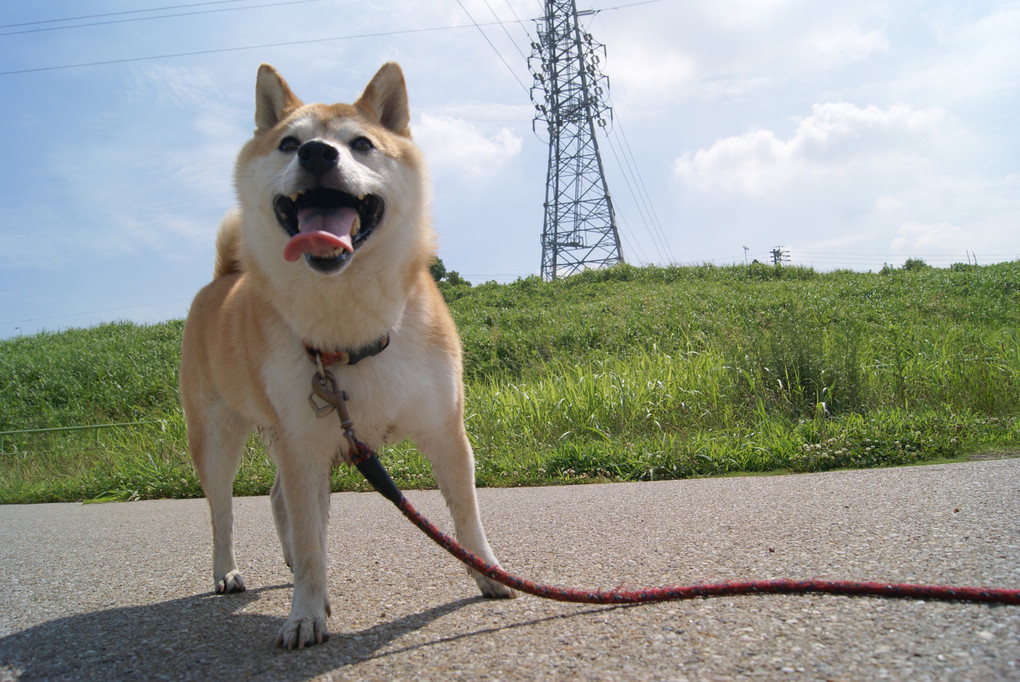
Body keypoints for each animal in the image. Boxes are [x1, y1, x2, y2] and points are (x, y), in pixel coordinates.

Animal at [180, 62, 514, 648]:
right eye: (289, 143)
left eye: (361, 143)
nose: (317, 153)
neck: (352, 332)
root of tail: (222, 279)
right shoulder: (304, 447)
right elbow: (314, 543)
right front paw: (305, 614)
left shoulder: (445, 430)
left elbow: (467, 518)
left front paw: (488, 572)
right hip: (221, 438)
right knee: (224, 513)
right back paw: (227, 573)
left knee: (277, 500)